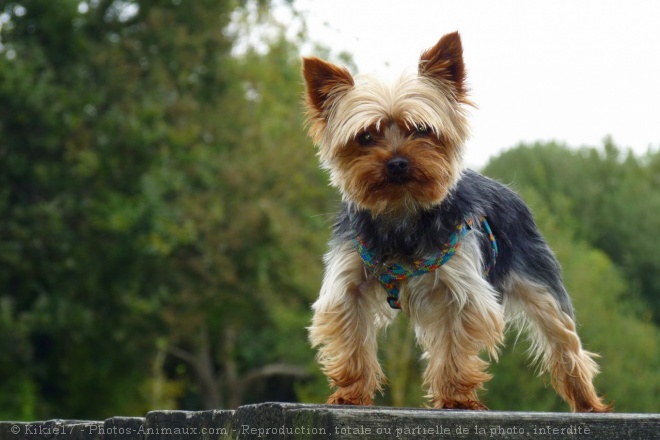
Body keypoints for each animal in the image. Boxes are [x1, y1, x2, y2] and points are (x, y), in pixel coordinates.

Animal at [302, 31, 612, 412]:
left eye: (421, 130)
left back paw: (588, 402)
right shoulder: (349, 282)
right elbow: (353, 336)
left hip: (538, 281)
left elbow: (454, 344)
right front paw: (350, 393)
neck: (403, 213)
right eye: (366, 137)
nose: (397, 163)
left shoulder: (461, 289)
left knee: (564, 341)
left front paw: (456, 397)